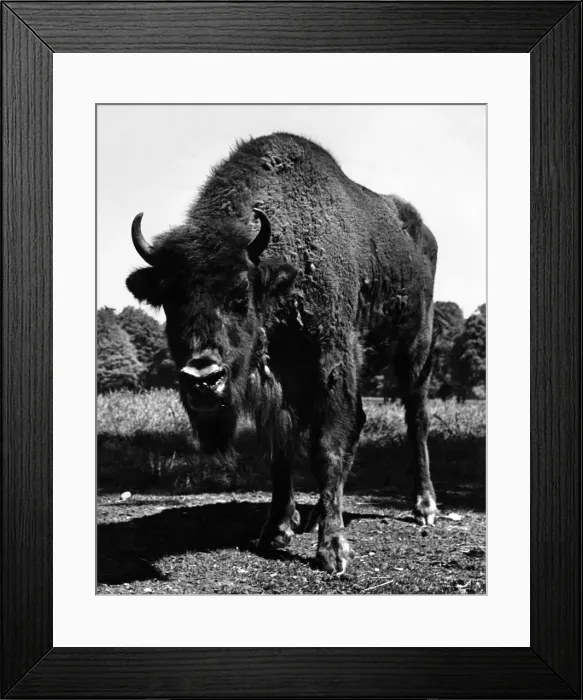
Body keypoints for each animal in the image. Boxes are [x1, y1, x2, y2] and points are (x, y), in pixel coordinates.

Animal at [126, 132, 437, 574]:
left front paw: (333, 550)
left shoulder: (330, 363)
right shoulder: (277, 383)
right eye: (170, 300)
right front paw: (277, 529)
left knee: (417, 420)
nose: (202, 378)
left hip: (415, 347)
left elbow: (325, 448)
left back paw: (424, 507)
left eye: (240, 295)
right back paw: (316, 514)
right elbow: (281, 450)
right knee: (362, 421)